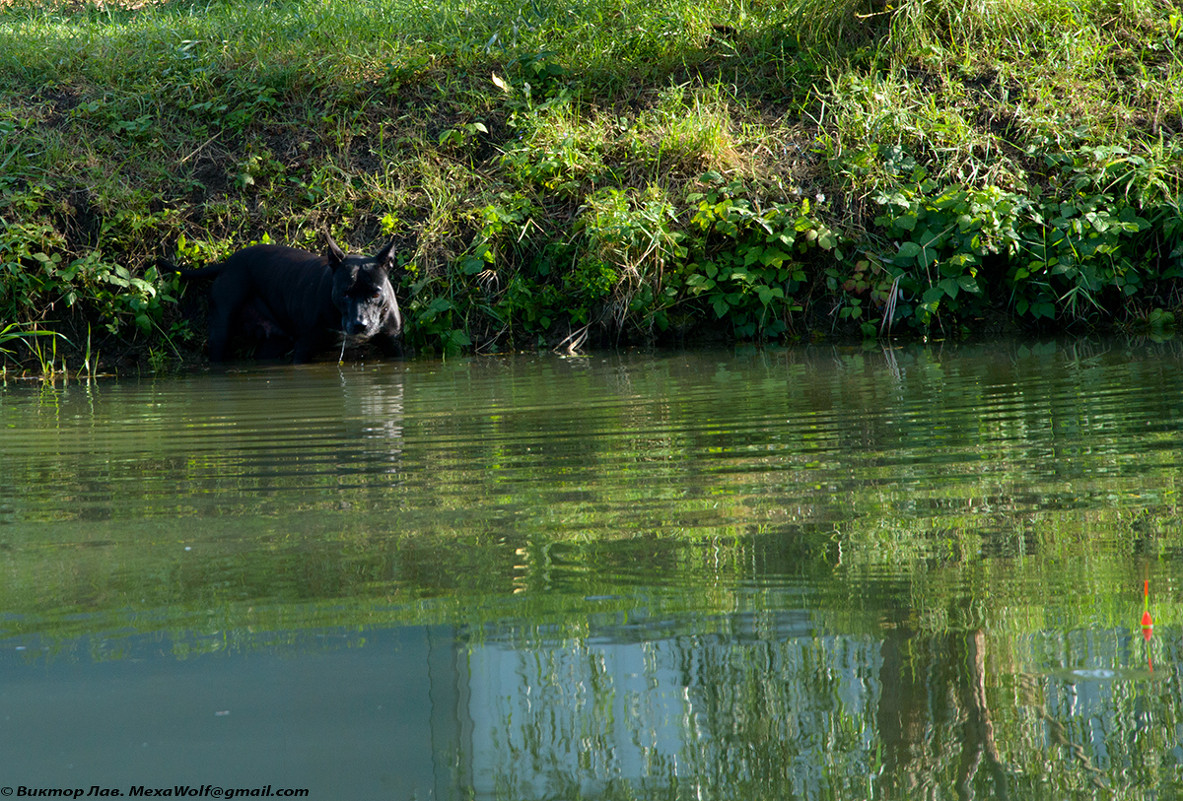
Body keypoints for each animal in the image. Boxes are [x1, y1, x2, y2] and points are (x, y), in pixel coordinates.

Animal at [171, 234, 402, 362]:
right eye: (345, 293)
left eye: (376, 293)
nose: (360, 324)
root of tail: (227, 263)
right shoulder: (304, 348)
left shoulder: (393, 345)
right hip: (221, 331)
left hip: (273, 344)